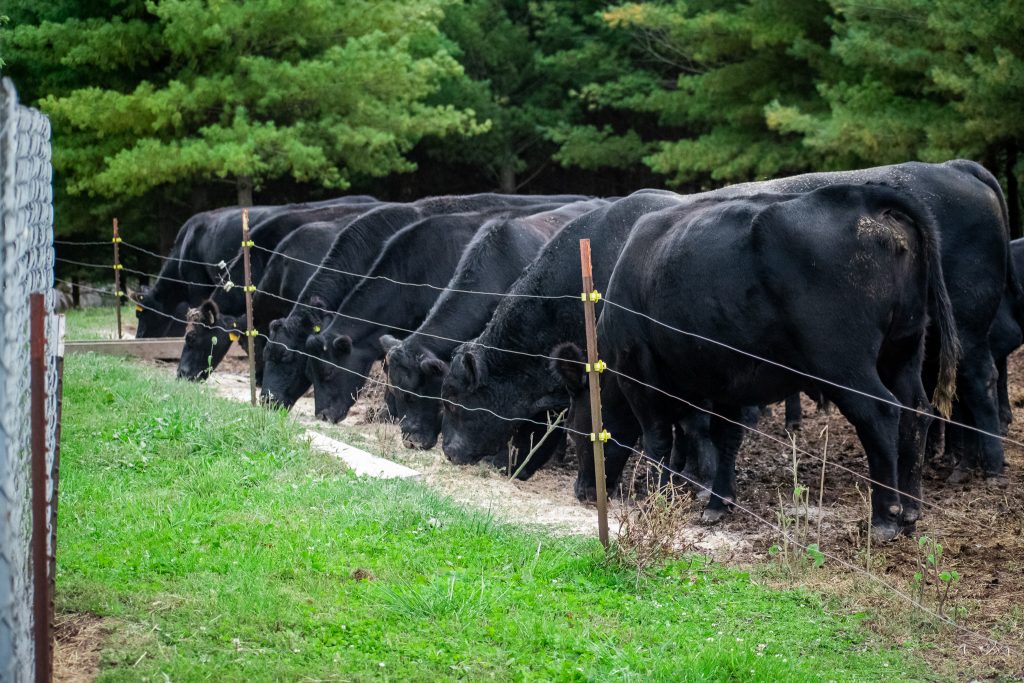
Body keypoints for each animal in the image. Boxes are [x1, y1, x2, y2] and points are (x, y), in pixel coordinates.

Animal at [553, 185, 960, 543]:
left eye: (573, 430)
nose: (582, 491)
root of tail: (865, 196)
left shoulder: (641, 377)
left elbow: (658, 438)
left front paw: (657, 496)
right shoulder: (726, 380)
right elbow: (725, 437)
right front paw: (718, 501)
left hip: (844, 363)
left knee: (879, 414)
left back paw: (885, 518)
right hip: (904, 348)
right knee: (915, 412)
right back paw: (910, 511)